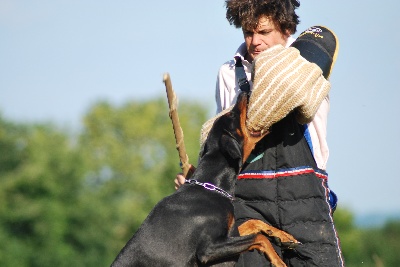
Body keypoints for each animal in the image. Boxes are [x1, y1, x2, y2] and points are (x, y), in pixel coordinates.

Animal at [111, 92, 298, 267]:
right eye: (232, 116)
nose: (243, 92)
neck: (210, 186)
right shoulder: (208, 249)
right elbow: (259, 238)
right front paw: (279, 262)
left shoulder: (229, 233)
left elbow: (254, 223)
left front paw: (282, 236)